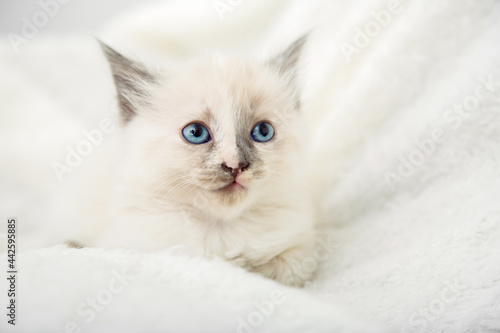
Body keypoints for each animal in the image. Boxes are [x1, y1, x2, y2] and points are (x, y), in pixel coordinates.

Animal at [67, 35, 316, 286]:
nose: (235, 165)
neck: (221, 233)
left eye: (263, 132)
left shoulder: (300, 252)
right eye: (195, 133)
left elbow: (282, 271)